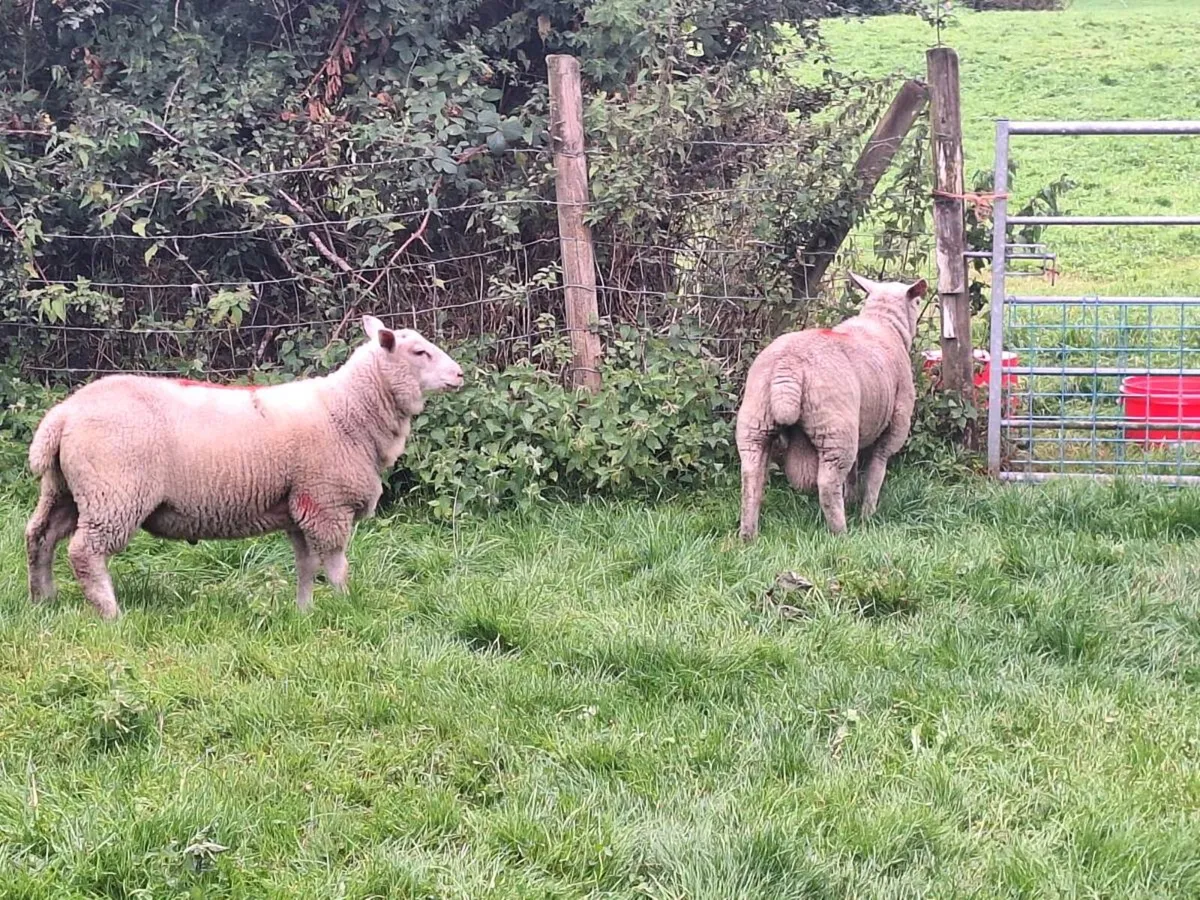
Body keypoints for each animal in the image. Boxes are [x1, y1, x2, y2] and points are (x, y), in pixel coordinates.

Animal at [24, 316, 464, 619]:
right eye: (420, 352)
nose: (459, 374)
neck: (348, 410)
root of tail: (63, 415)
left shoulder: (299, 505)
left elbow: (306, 565)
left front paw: (303, 611)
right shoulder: (326, 503)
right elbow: (336, 567)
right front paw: (345, 606)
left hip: (66, 490)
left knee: (40, 537)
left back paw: (43, 599)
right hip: (113, 492)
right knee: (85, 552)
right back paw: (110, 613)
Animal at [735, 272, 928, 539]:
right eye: (918, 302)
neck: (882, 322)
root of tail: (788, 364)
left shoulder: (860, 424)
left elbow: (854, 473)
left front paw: (853, 499)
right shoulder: (895, 425)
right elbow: (876, 470)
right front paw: (867, 514)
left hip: (755, 422)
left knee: (750, 477)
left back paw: (748, 534)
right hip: (836, 431)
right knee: (827, 484)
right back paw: (841, 533)